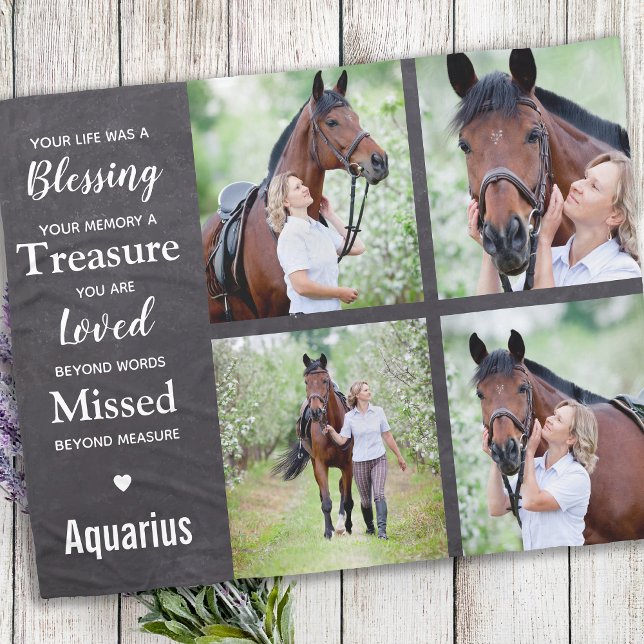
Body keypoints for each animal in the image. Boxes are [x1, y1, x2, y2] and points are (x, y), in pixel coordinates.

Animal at [272, 353, 354, 540]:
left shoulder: (348, 465)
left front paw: (346, 527)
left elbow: (347, 499)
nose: (315, 412)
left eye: (325, 380)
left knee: (342, 489)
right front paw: (328, 532)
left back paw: (341, 525)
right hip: (315, 463)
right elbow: (326, 501)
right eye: (306, 382)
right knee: (324, 494)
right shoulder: (321, 464)